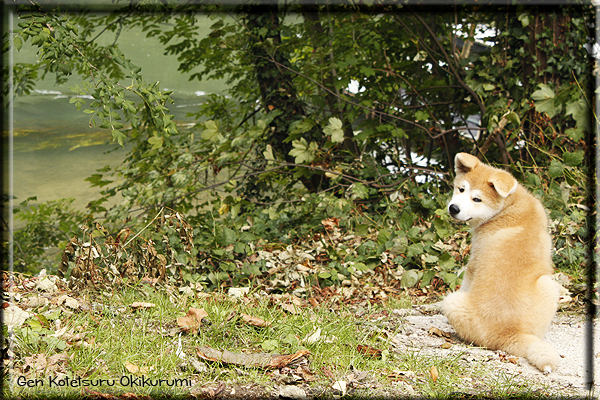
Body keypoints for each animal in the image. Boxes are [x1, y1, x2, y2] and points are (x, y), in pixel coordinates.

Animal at [440, 152, 556, 372]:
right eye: (461, 189)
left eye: (477, 199)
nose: (453, 208)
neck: (508, 207)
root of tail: (509, 334)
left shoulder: (474, 261)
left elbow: (467, 282)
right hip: (549, 285)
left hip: (451, 302)